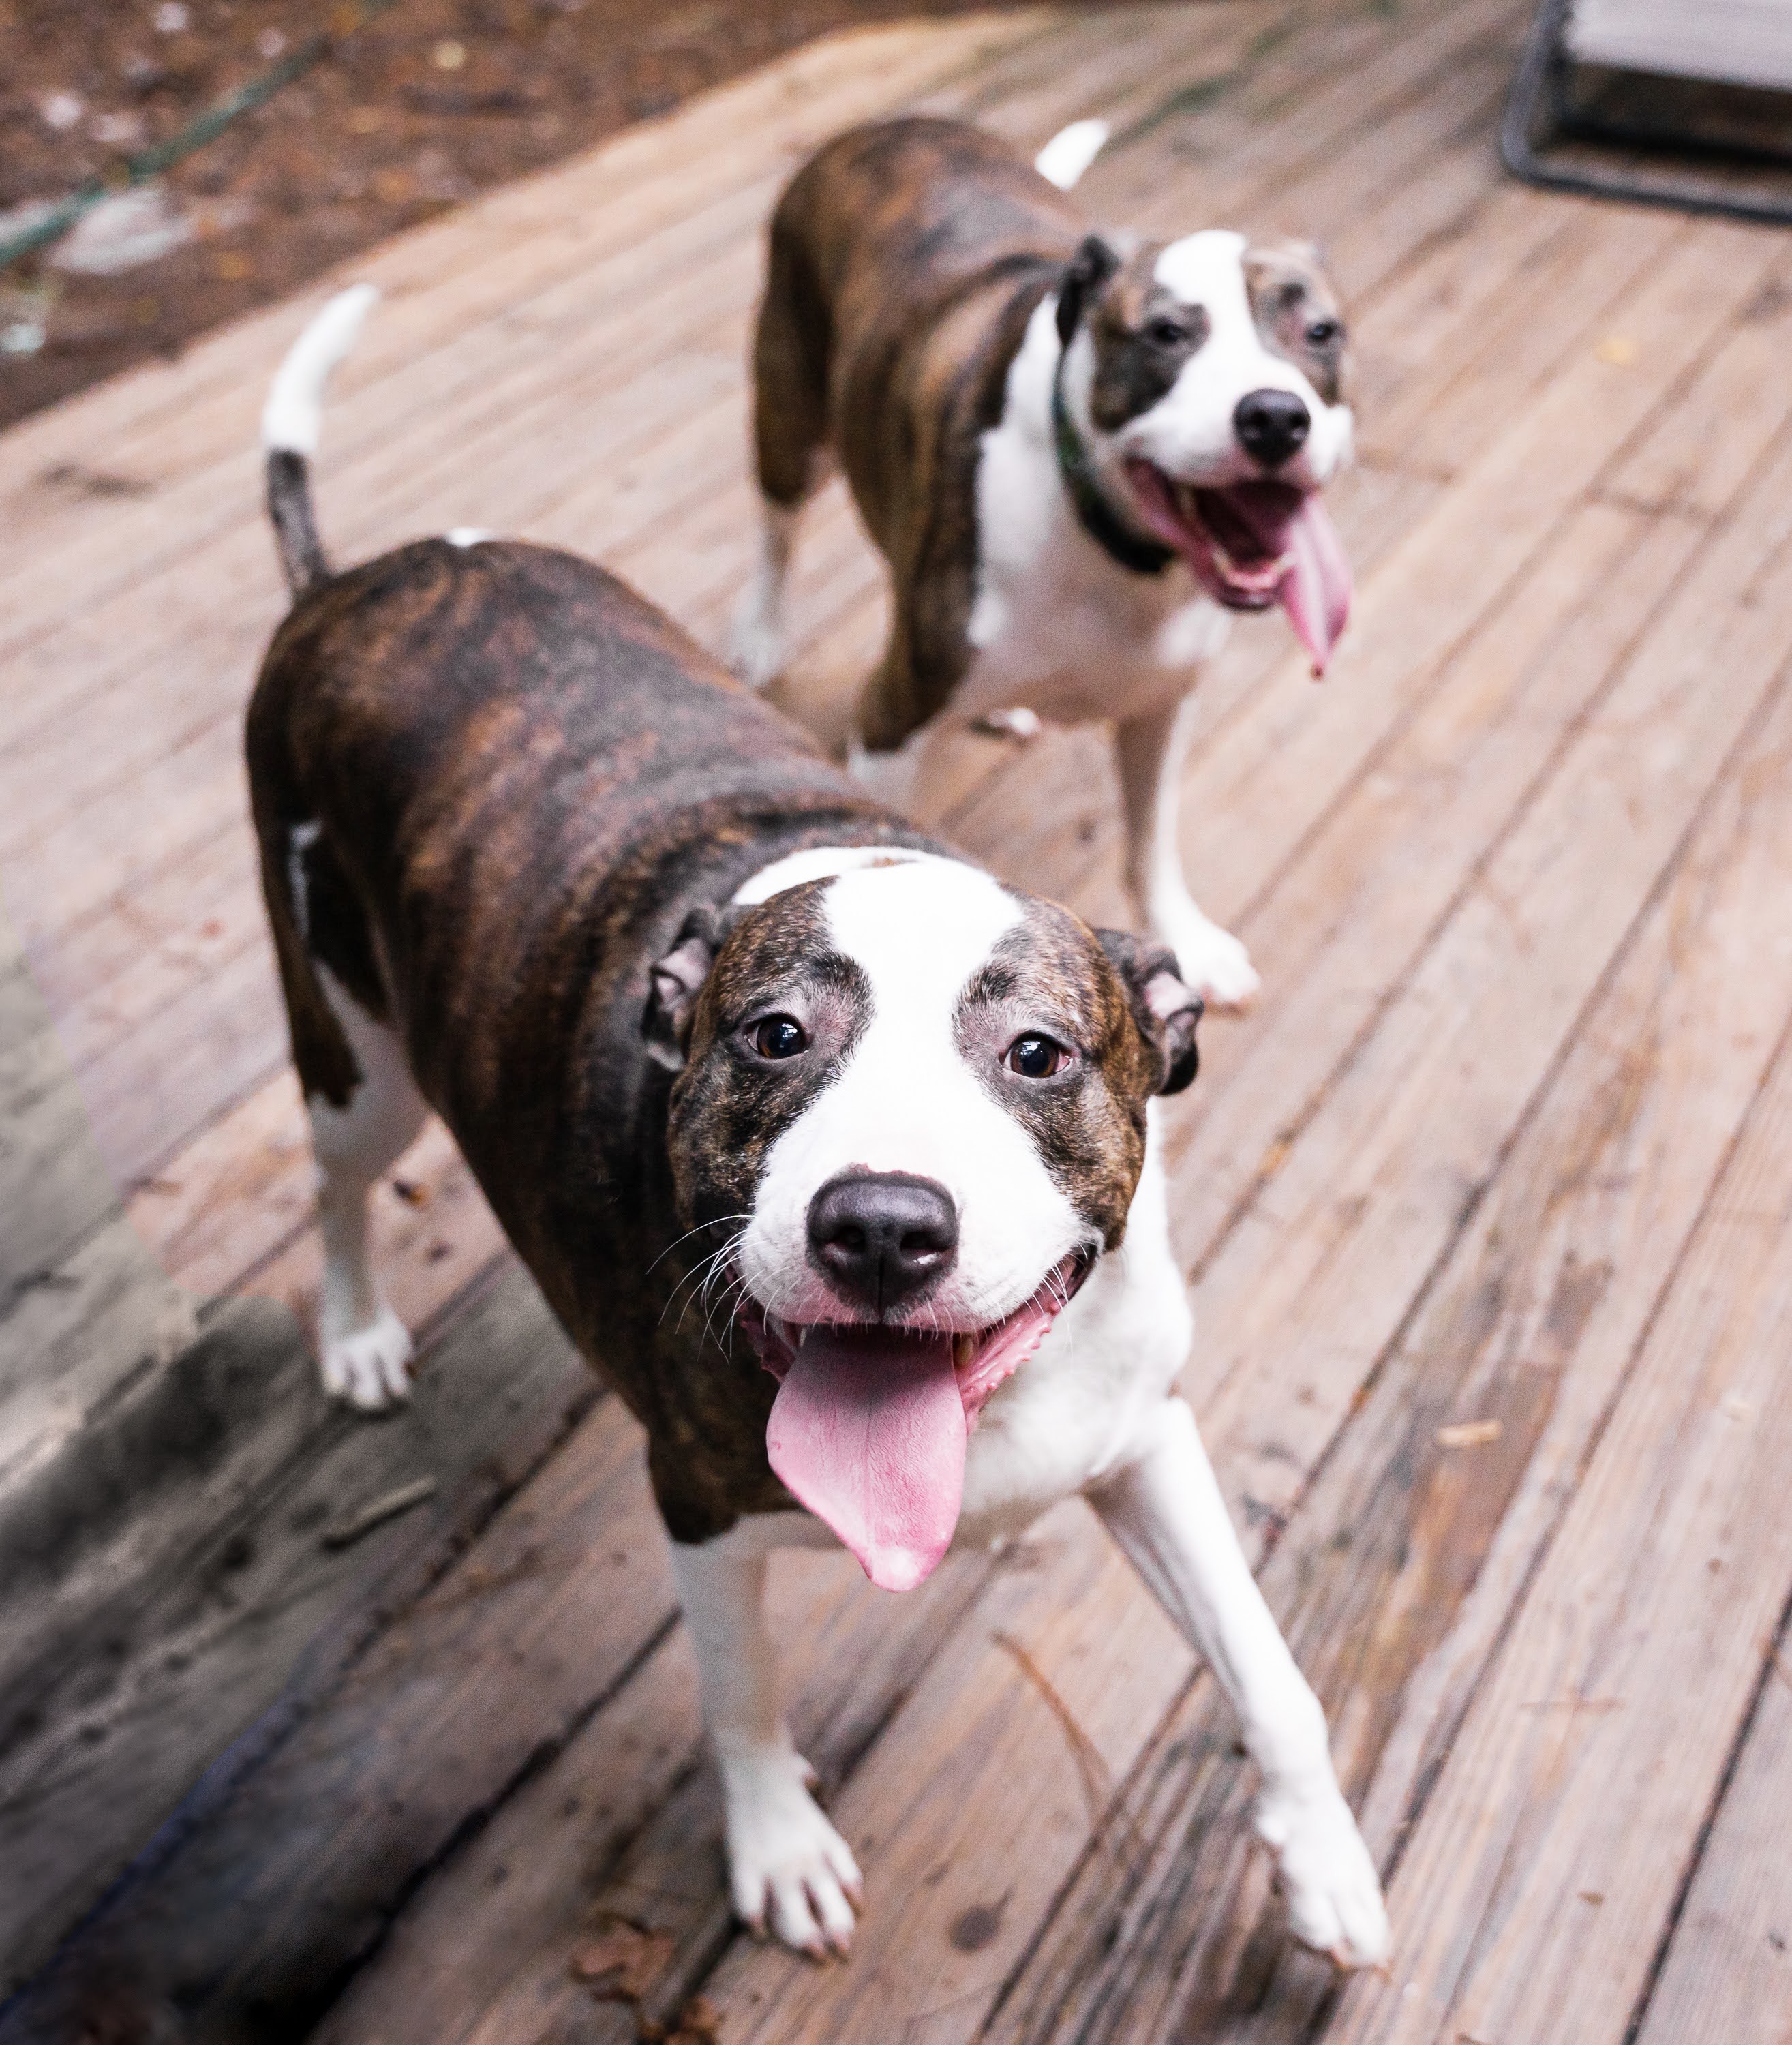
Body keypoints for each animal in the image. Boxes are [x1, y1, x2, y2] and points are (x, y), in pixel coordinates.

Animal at [245, 288, 1382, 1963]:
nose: (883, 1228)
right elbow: (742, 1697)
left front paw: (1324, 1861)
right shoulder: (701, 1505)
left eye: (1038, 1054)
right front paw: (776, 1846)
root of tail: (365, 578)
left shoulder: (1144, 1438)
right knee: (336, 1182)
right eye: (774, 1038)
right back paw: (353, 1335)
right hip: (356, 1046)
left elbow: (1269, 1666)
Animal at [724, 116, 1341, 1010]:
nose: (1274, 417)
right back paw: (763, 630)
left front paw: (1186, 936)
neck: (1116, 554)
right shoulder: (890, 723)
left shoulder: (1163, 705)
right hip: (789, 410)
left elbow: (1151, 840)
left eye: (1320, 333)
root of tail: (891, 125)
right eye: (1166, 334)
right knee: (777, 525)